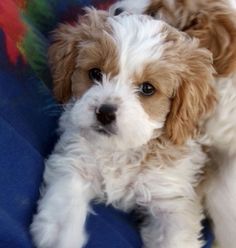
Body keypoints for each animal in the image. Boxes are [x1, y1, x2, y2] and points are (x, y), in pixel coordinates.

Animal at [29, 8, 216, 247]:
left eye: (147, 88)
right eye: (95, 73)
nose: (105, 112)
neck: (121, 151)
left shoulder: (173, 199)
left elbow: (176, 237)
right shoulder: (76, 158)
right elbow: (66, 200)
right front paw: (60, 236)